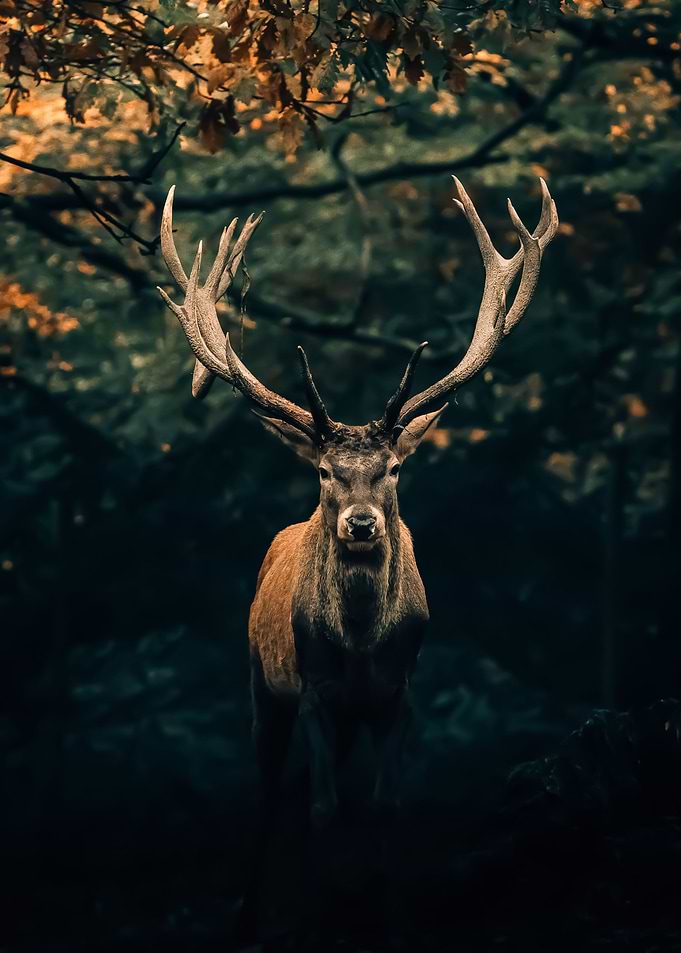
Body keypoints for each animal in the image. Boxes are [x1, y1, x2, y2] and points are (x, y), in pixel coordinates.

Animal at [157, 175, 557, 929]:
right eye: (322, 471)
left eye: (393, 468)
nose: (362, 524)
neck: (363, 644)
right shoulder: (315, 690)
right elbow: (322, 808)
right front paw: (318, 907)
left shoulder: (398, 695)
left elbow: (383, 804)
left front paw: (383, 908)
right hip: (262, 681)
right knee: (270, 789)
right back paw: (250, 911)